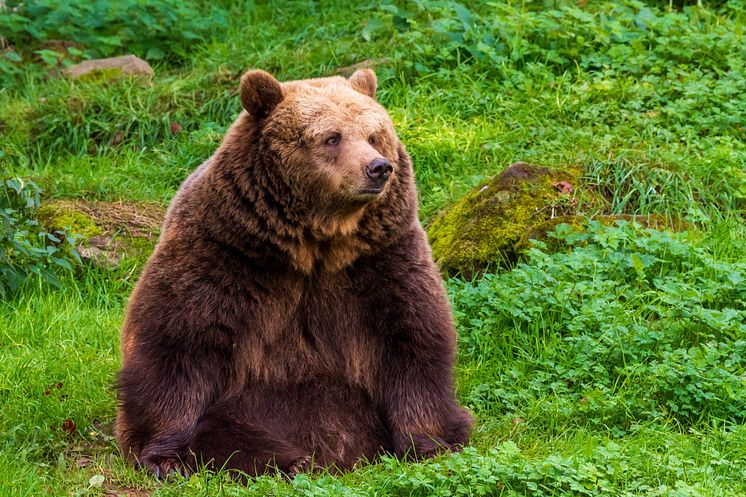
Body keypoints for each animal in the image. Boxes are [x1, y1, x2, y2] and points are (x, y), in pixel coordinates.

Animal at [116, 67, 474, 476]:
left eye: (374, 135)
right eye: (332, 137)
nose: (379, 168)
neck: (314, 245)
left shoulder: (380, 260)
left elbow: (411, 339)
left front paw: (429, 444)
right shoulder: (224, 254)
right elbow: (179, 343)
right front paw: (164, 458)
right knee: (226, 429)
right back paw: (292, 458)